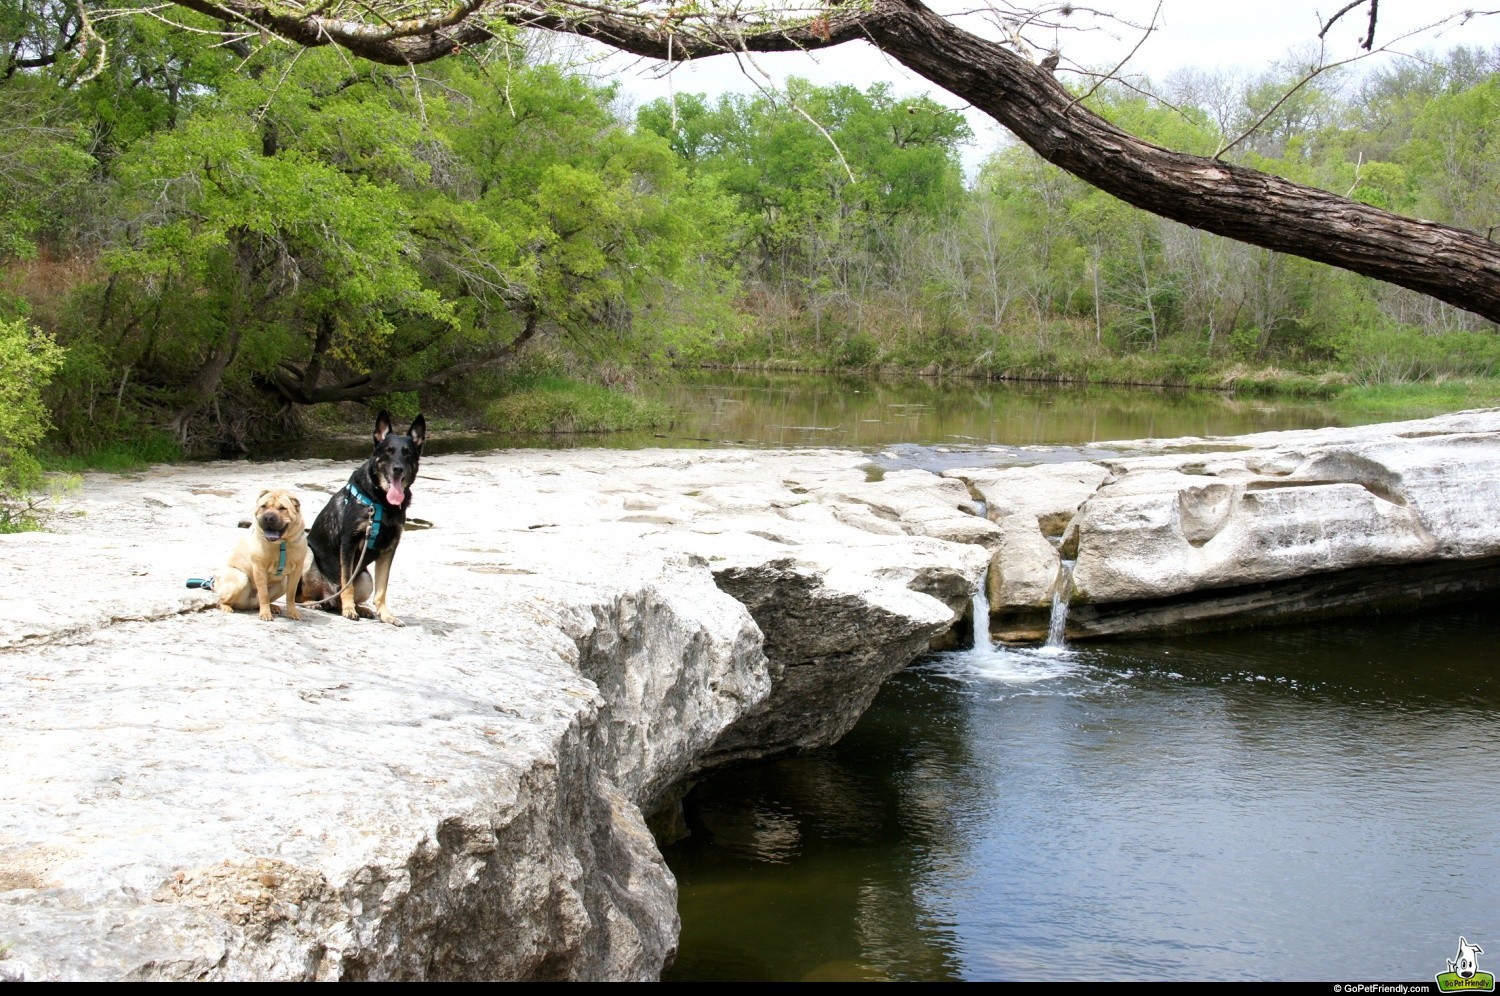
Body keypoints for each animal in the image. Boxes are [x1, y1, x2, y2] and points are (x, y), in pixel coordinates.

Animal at [298, 408, 426, 624]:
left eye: (407, 453)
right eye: (388, 451)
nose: (397, 469)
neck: (381, 502)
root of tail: (327, 595)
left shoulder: (389, 549)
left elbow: (382, 589)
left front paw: (385, 615)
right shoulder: (349, 544)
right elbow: (347, 584)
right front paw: (350, 610)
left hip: (365, 577)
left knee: (339, 600)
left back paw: (360, 608)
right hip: (307, 556)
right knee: (301, 596)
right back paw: (316, 603)